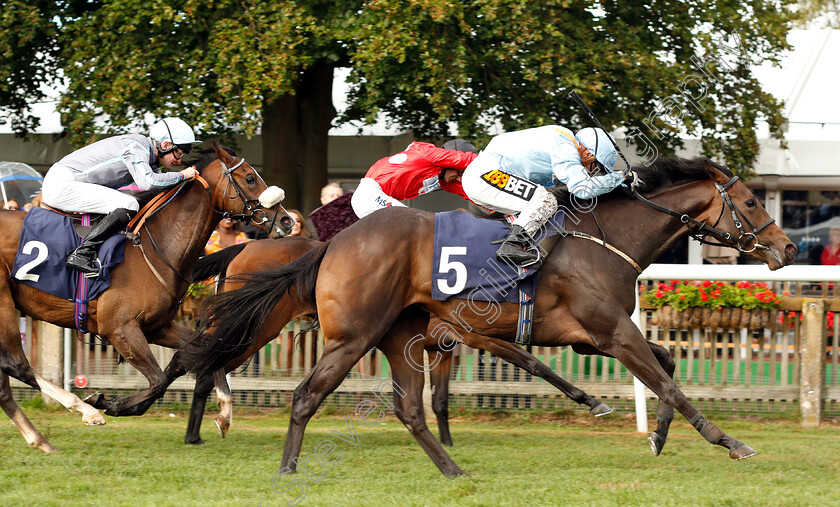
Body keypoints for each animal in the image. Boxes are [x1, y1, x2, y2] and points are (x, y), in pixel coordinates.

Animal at [0, 143, 296, 452]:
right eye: (250, 178)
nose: (288, 220)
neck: (156, 247)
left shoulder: (157, 327)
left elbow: (201, 350)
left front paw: (225, 412)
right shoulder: (120, 329)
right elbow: (158, 382)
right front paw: (108, 403)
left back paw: (40, 438)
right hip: (4, 303)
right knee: (16, 364)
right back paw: (84, 411)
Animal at [182, 240, 612, 446]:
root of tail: (245, 245)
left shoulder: (441, 348)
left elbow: (440, 400)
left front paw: (447, 443)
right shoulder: (478, 337)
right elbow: (535, 364)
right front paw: (590, 399)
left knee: (205, 360)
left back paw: (199, 429)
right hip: (260, 325)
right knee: (206, 360)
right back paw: (216, 415)